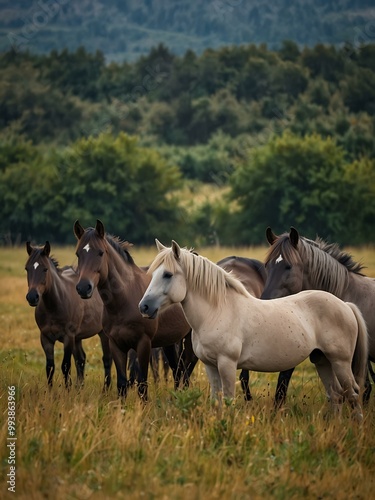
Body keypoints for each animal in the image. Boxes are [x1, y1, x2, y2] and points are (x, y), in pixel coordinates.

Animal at [25, 240, 111, 388]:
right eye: (27, 269)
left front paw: (67, 390)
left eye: (45, 269)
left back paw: (106, 388)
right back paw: (80, 388)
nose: (32, 297)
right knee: (81, 359)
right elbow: (50, 367)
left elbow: (65, 366)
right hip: (78, 338)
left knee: (107, 360)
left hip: (102, 334)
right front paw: (51, 391)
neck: (54, 305)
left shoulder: (68, 337)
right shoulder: (46, 338)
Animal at [73, 221, 192, 400]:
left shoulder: (143, 344)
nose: (83, 287)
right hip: (170, 342)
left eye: (100, 253)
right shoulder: (116, 345)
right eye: (78, 254)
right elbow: (122, 384)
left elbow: (142, 385)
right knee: (179, 373)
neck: (125, 300)